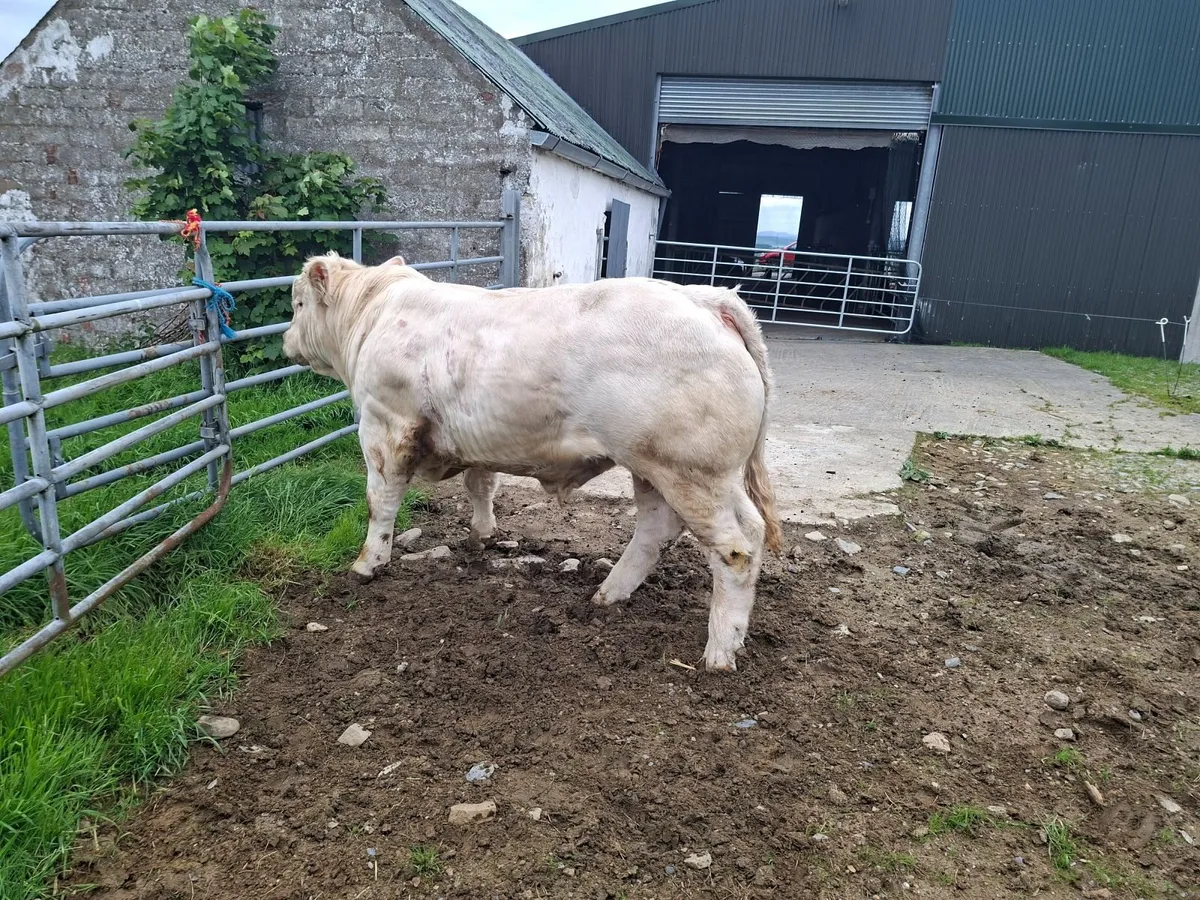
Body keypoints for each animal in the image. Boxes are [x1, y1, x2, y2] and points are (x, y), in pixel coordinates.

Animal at [282, 253, 783, 671]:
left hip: (692, 470)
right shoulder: (478, 436)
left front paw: (368, 563)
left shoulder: (384, 424)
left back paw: (720, 651)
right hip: (658, 469)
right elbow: (481, 485)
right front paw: (483, 534)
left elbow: (380, 501)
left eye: (299, 302)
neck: (375, 313)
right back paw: (609, 594)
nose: (286, 341)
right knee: (659, 529)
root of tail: (705, 298)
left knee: (737, 546)